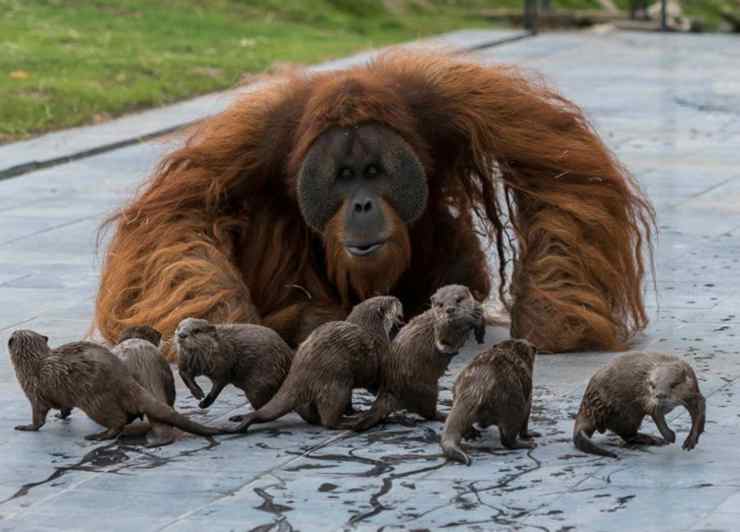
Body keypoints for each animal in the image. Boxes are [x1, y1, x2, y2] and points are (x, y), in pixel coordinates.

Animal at [7, 328, 228, 440]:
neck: (31, 363)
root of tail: (124, 379)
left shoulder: (34, 392)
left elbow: (39, 417)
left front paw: (26, 426)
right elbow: (64, 406)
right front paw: (62, 415)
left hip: (94, 401)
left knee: (117, 421)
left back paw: (100, 436)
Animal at [231, 296, 404, 432]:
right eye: (391, 301)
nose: (398, 298)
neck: (372, 330)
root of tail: (301, 371)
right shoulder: (380, 357)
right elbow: (375, 381)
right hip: (337, 383)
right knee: (328, 420)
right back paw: (350, 420)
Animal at [342, 282, 486, 432]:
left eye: (459, 299)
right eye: (440, 304)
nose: (450, 310)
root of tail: (390, 388)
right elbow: (445, 342)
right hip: (427, 388)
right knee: (428, 412)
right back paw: (447, 416)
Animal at [572, 352, 704, 460]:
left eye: (673, 385)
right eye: (652, 385)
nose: (659, 395)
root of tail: (588, 406)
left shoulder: (694, 392)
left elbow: (699, 412)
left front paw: (690, 440)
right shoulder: (648, 400)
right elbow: (657, 416)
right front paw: (669, 436)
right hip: (626, 412)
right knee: (627, 434)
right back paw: (654, 439)